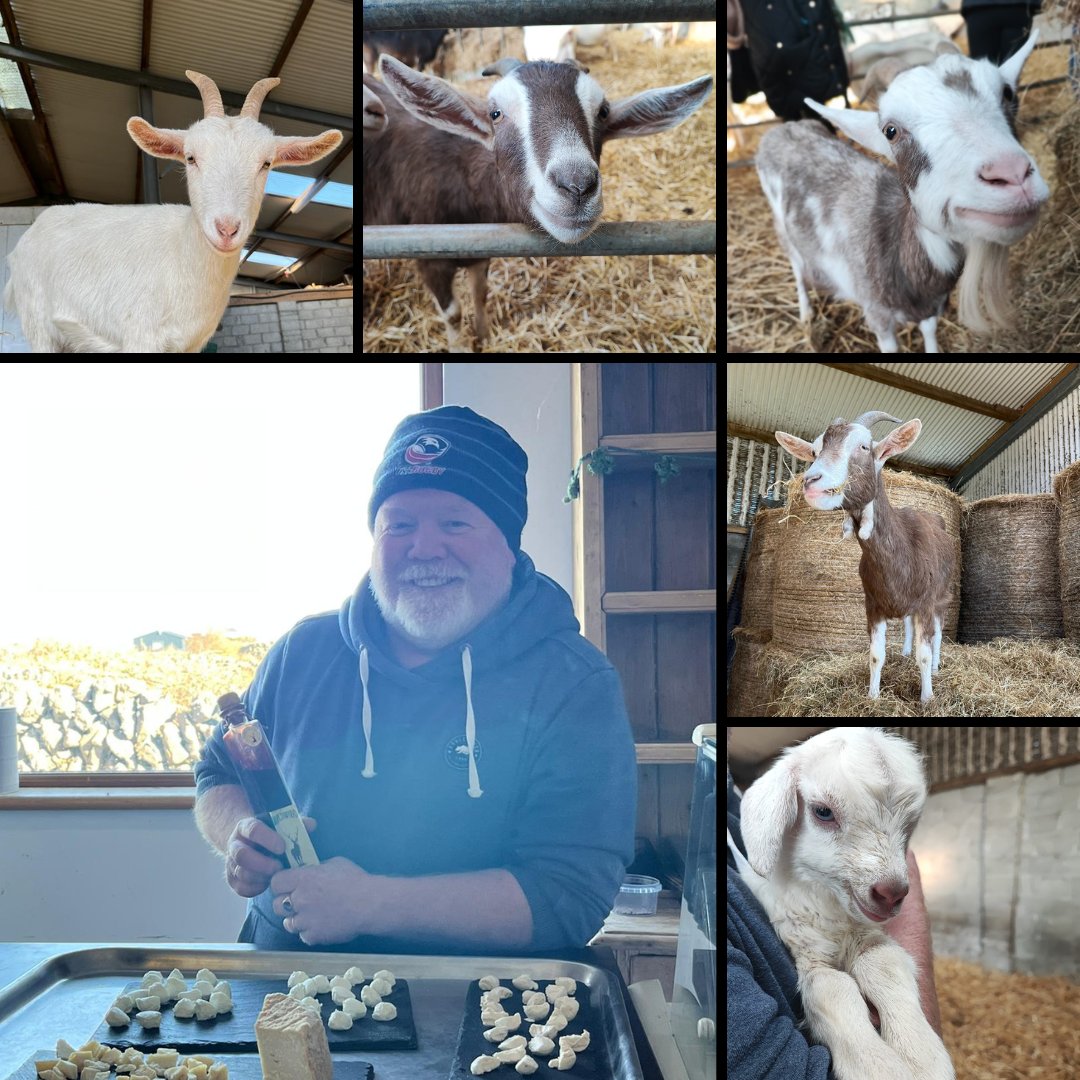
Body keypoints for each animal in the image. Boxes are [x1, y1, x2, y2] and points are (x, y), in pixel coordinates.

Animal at [4, 71, 342, 353]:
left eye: (267, 163)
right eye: (190, 158)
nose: (227, 229)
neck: (182, 255)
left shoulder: (190, 346)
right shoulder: (139, 335)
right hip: (39, 324)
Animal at [364, 55, 712, 352]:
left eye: (602, 112)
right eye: (495, 113)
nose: (577, 185)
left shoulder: (480, 250)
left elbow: (480, 293)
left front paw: (485, 336)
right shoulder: (429, 258)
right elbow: (452, 312)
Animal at [739, 727, 954, 1080]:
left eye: (908, 825)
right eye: (822, 812)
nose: (892, 892)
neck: (832, 911)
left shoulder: (867, 934)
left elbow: (882, 962)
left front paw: (921, 1056)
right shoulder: (803, 942)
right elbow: (831, 988)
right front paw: (877, 1066)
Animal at [756, 30, 1048, 353]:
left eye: (1007, 93)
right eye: (890, 131)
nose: (1012, 175)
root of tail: (782, 129)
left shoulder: (934, 305)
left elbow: (929, 330)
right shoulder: (878, 316)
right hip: (782, 226)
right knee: (797, 267)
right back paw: (806, 312)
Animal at [775, 411, 955, 703]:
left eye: (863, 447)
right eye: (814, 451)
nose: (811, 481)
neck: (903, 549)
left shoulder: (926, 603)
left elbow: (925, 655)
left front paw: (927, 698)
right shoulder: (873, 606)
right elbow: (875, 656)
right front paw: (872, 697)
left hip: (942, 595)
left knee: (938, 632)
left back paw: (937, 667)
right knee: (907, 624)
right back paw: (905, 653)